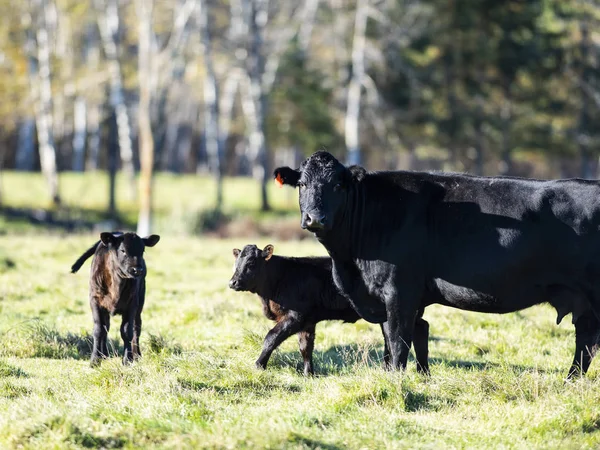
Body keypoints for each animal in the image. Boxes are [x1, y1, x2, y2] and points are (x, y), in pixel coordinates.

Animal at [71, 232, 159, 366]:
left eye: (142, 250)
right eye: (123, 250)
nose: (137, 270)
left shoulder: (132, 304)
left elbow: (127, 331)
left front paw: (127, 360)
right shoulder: (95, 301)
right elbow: (98, 330)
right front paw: (95, 359)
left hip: (140, 304)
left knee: (136, 327)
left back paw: (137, 355)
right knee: (106, 327)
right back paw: (104, 355)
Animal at [226, 244, 390, 374]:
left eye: (251, 263)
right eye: (236, 263)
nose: (233, 282)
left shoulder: (296, 316)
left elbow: (271, 337)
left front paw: (259, 365)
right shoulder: (308, 321)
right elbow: (305, 347)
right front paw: (308, 374)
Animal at [276, 150, 600, 376]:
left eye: (337, 185)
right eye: (302, 183)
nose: (315, 218)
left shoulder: (400, 291)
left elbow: (398, 340)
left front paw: (396, 379)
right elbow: (400, 341)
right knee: (586, 339)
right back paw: (570, 380)